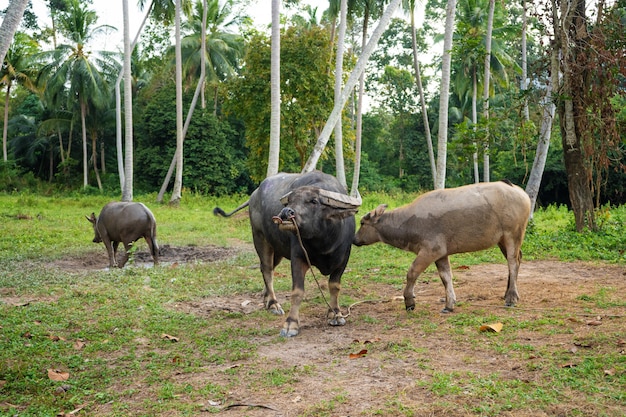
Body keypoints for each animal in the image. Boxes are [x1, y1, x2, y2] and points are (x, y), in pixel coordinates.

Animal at [213, 171, 360, 336]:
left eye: (313, 201)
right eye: (289, 201)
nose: (285, 212)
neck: (323, 240)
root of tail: (254, 196)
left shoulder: (343, 258)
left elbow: (334, 286)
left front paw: (336, 314)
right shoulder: (298, 256)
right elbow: (297, 291)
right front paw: (291, 324)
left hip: (277, 249)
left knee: (268, 268)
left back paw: (266, 298)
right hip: (259, 237)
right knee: (267, 269)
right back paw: (273, 304)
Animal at [352, 179, 528, 312]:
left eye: (362, 223)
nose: (354, 239)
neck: (408, 222)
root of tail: (518, 190)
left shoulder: (430, 251)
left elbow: (412, 273)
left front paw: (409, 301)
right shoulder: (441, 254)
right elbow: (446, 277)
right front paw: (449, 304)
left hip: (513, 235)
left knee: (512, 262)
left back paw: (511, 298)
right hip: (501, 240)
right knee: (517, 259)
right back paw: (507, 293)